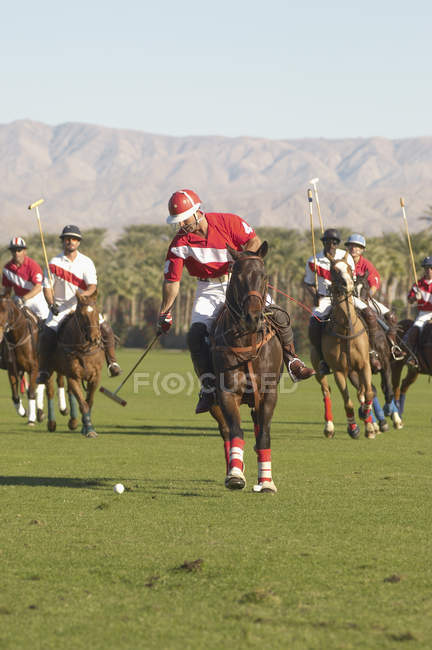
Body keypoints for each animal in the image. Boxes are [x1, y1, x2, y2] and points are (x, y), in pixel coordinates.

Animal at [45, 292, 104, 436]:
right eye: (81, 315)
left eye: (97, 312)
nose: (95, 338)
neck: (83, 348)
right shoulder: (73, 376)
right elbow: (83, 404)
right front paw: (89, 429)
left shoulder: (95, 377)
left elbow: (89, 402)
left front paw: (85, 426)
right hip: (49, 369)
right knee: (50, 391)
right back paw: (51, 423)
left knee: (69, 391)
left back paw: (73, 421)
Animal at [210, 242, 284, 492]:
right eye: (237, 276)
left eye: (264, 276)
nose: (252, 318)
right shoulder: (227, 392)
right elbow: (235, 431)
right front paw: (235, 475)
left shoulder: (269, 393)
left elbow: (264, 435)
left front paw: (267, 481)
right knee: (225, 431)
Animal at [310, 251, 374, 438]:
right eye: (333, 270)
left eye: (349, 268)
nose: (349, 284)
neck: (347, 328)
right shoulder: (339, 370)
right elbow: (348, 402)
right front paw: (353, 428)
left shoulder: (364, 365)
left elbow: (368, 392)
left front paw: (367, 419)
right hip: (319, 369)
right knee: (326, 391)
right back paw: (329, 427)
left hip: (354, 370)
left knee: (362, 391)